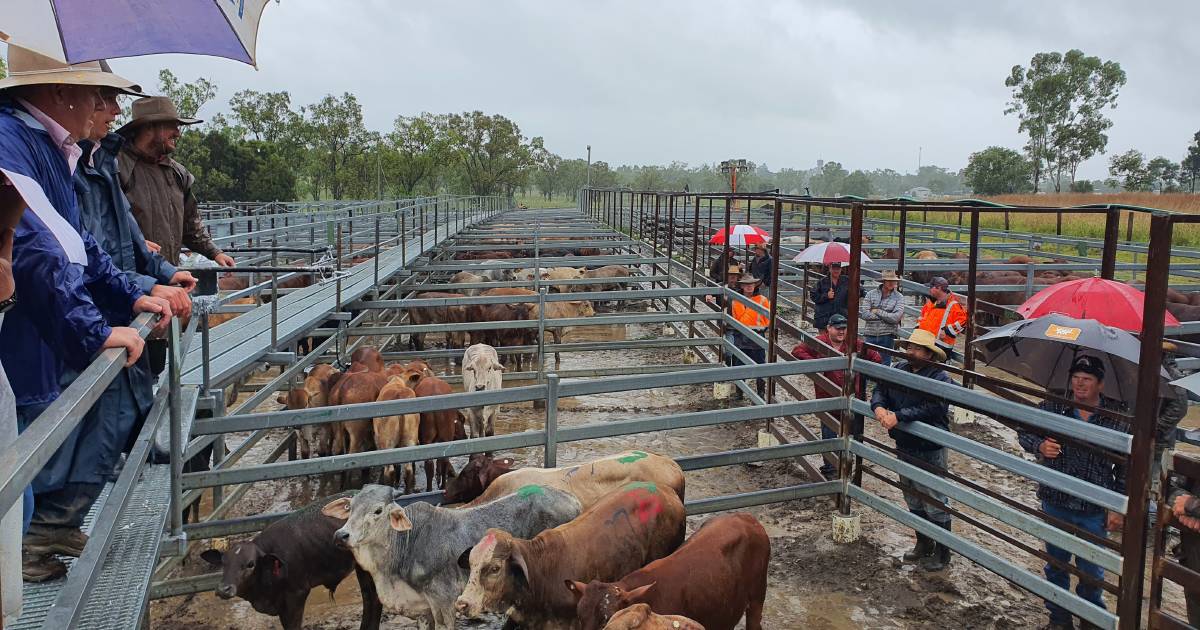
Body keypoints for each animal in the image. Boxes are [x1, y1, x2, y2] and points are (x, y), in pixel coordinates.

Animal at [324, 484, 576, 624]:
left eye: (377, 510)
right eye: (350, 507)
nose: (341, 535)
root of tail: (572, 499)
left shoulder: (443, 602)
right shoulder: (423, 610)